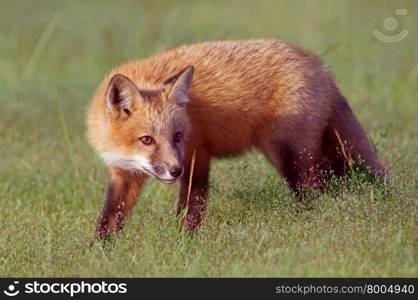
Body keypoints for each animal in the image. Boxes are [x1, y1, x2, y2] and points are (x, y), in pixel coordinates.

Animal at [86, 39, 386, 238]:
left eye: (178, 136)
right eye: (147, 139)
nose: (175, 170)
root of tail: (319, 66)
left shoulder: (197, 154)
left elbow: (191, 205)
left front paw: (183, 242)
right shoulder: (122, 174)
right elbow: (108, 217)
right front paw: (101, 250)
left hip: (291, 156)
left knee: (314, 193)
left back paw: (307, 227)